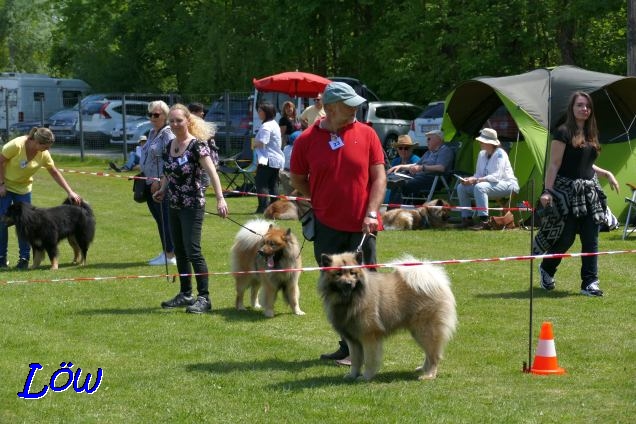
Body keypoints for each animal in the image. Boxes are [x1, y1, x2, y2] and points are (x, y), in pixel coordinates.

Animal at [318, 252, 458, 380]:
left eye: (353, 273)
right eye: (338, 274)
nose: (348, 284)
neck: (351, 300)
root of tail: (437, 282)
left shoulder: (369, 337)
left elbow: (369, 360)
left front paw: (365, 377)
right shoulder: (353, 340)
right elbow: (355, 361)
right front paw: (352, 375)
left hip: (425, 330)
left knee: (434, 355)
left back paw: (429, 375)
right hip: (418, 332)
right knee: (429, 354)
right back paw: (423, 369)